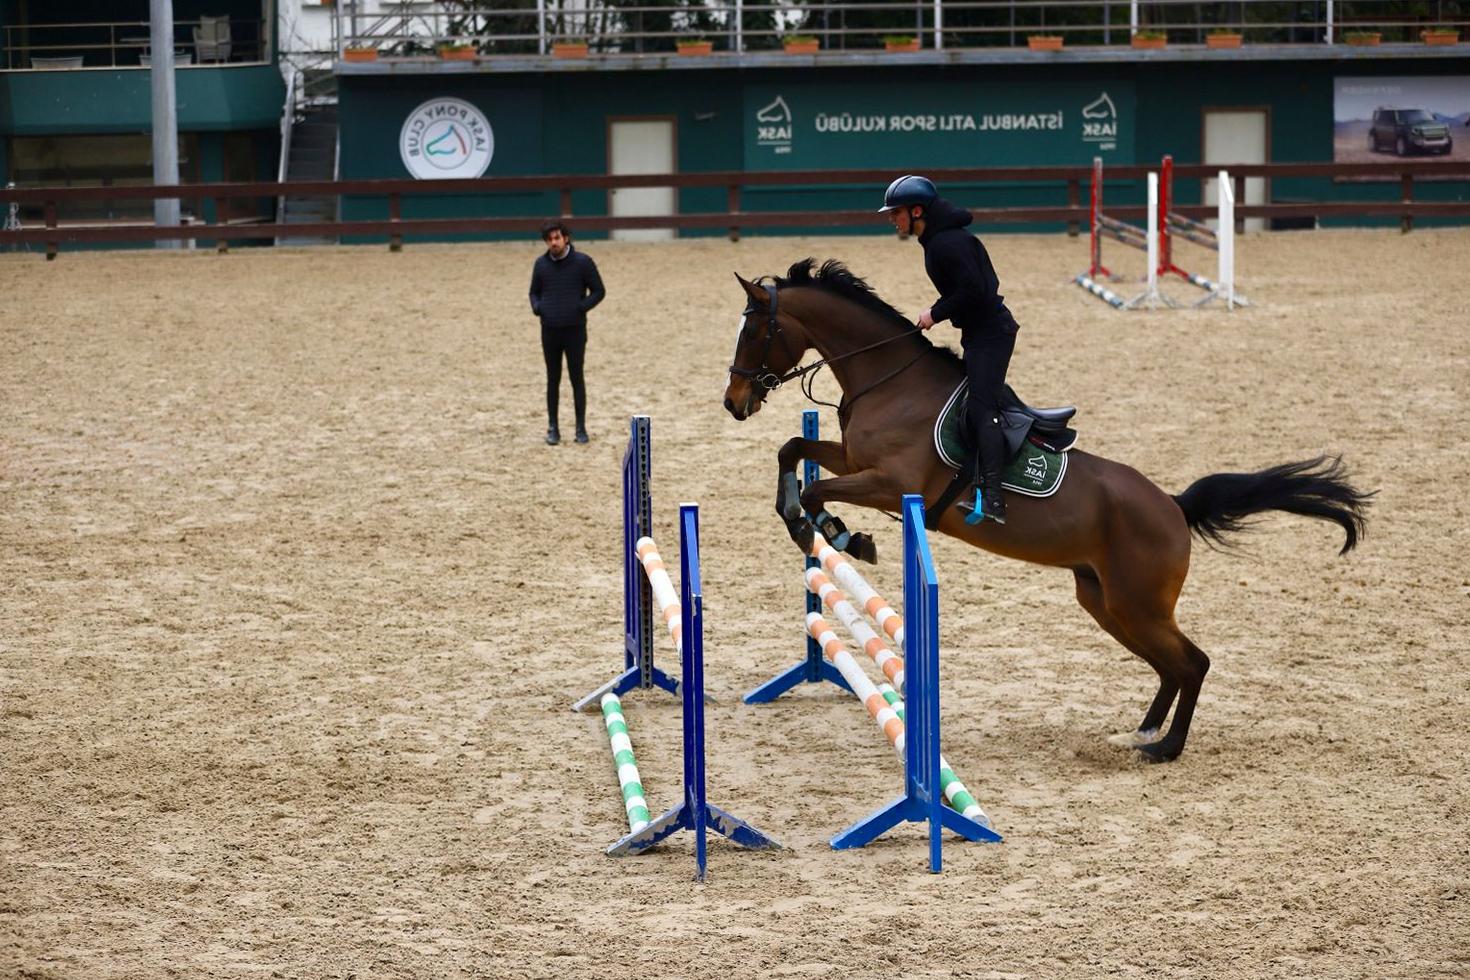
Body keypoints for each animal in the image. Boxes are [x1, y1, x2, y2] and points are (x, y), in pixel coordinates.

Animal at [722, 259, 1372, 762]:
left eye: (754, 332)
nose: (733, 402)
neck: (888, 381)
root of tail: (1173, 505)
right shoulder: (852, 460)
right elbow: (793, 450)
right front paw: (803, 519)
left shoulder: (889, 484)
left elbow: (816, 493)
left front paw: (838, 535)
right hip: (1106, 602)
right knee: (1171, 666)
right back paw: (1144, 732)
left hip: (1135, 603)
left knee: (1194, 663)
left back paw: (1166, 748)